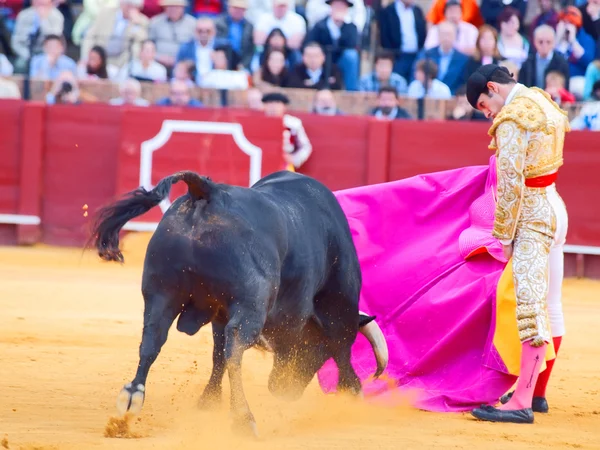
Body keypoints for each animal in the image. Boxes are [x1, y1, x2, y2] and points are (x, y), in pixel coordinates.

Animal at [89, 170, 390, 436]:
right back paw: (244, 419)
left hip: (160, 294)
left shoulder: (219, 314)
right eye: (319, 351)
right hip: (249, 304)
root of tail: (207, 190)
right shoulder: (335, 308)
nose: (283, 390)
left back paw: (130, 402)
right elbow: (341, 348)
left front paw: (208, 401)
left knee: (153, 339)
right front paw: (352, 393)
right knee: (234, 348)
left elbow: (216, 354)